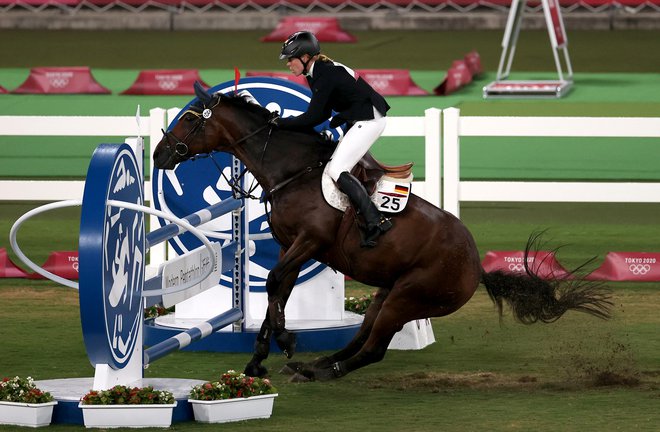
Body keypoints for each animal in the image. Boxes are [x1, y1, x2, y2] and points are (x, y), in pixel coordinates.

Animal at [152, 83, 612, 382]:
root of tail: (476, 267)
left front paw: (282, 341)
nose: (158, 154)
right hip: (386, 293)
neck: (291, 170)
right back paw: (315, 365)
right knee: (361, 337)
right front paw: (261, 357)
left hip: (408, 297)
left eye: (190, 118)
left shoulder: (309, 241)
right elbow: (277, 288)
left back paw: (324, 371)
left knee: (373, 349)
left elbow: (274, 282)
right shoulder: (291, 246)